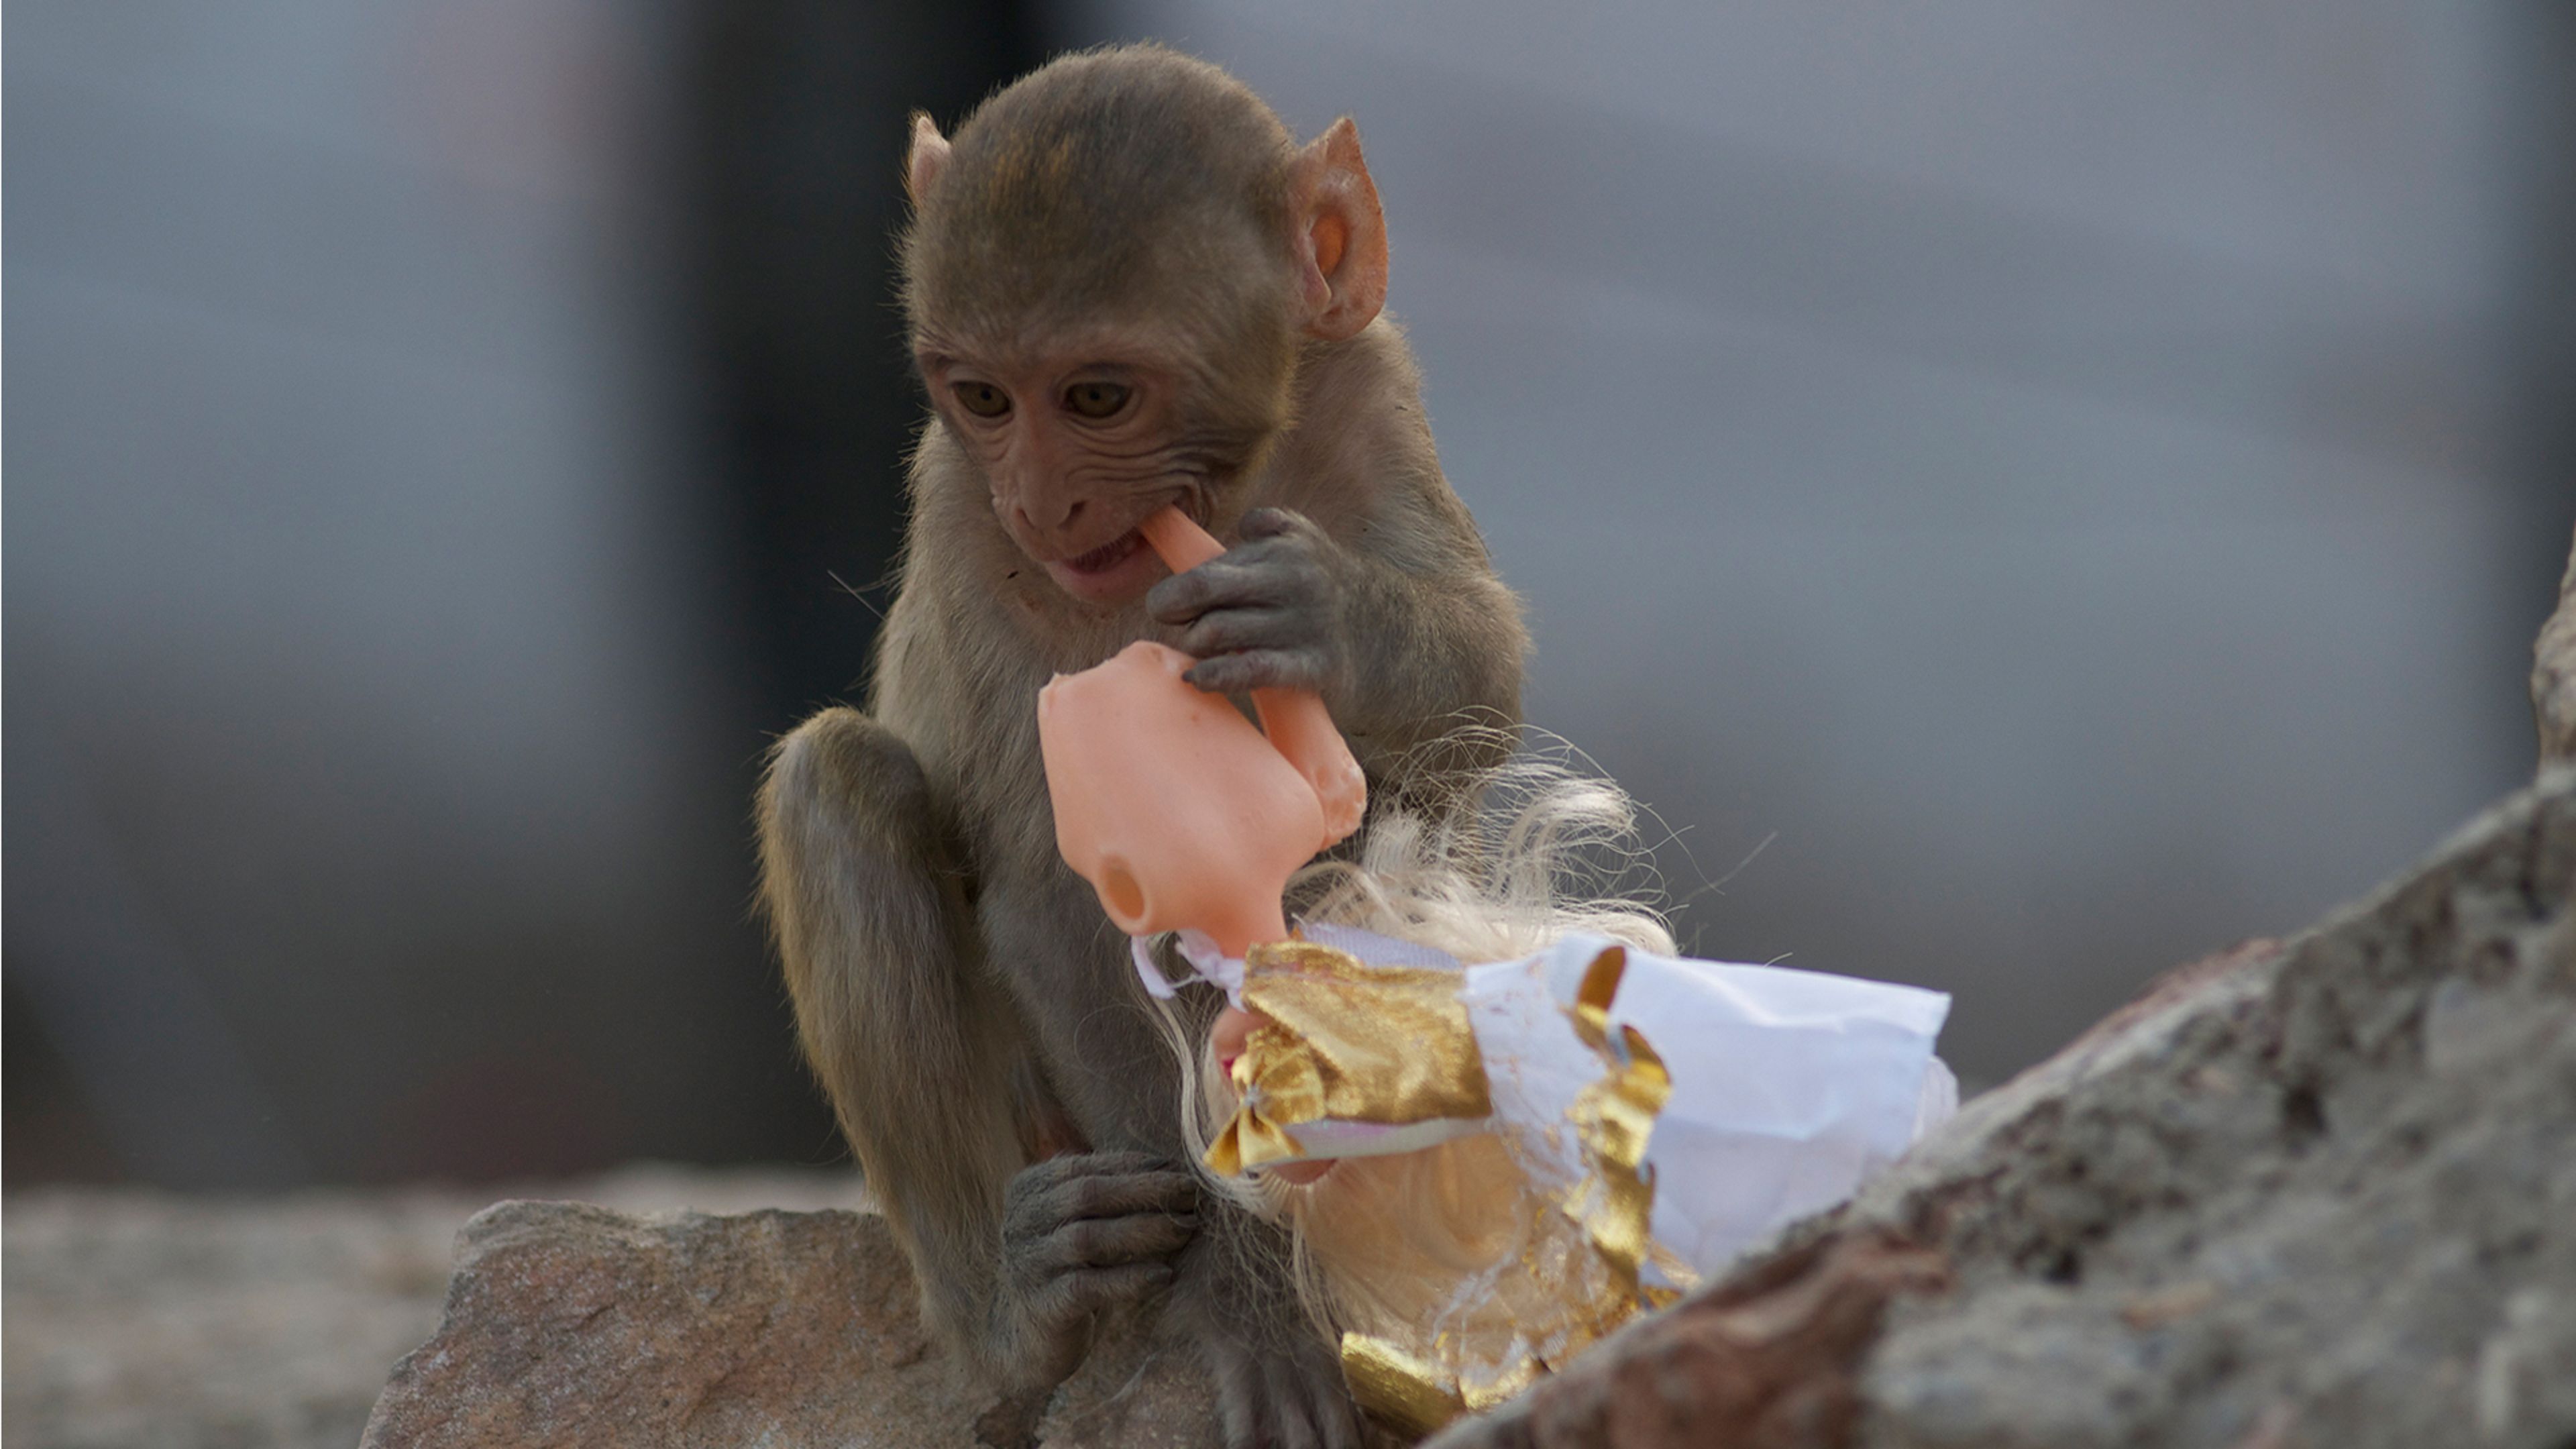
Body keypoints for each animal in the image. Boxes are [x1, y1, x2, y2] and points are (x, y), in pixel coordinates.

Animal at [755, 45, 1527, 1448]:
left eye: (1097, 397)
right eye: (984, 397)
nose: (1041, 500)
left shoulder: (1369, 388)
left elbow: (1474, 715)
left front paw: (1319, 622)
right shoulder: (966, 523)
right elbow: (1061, 912)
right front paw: (1256, 1317)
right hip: (1041, 1129)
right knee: (834, 782)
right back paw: (1016, 1323)